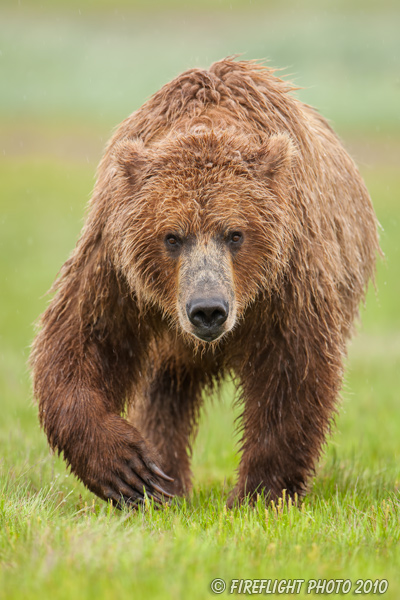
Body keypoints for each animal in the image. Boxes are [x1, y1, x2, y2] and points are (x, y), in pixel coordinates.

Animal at [29, 58, 380, 508]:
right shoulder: (117, 262)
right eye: (172, 236)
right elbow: (80, 340)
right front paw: (127, 469)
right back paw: (166, 480)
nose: (208, 309)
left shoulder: (288, 272)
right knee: (165, 392)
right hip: (168, 345)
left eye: (235, 234)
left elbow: (294, 369)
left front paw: (258, 492)